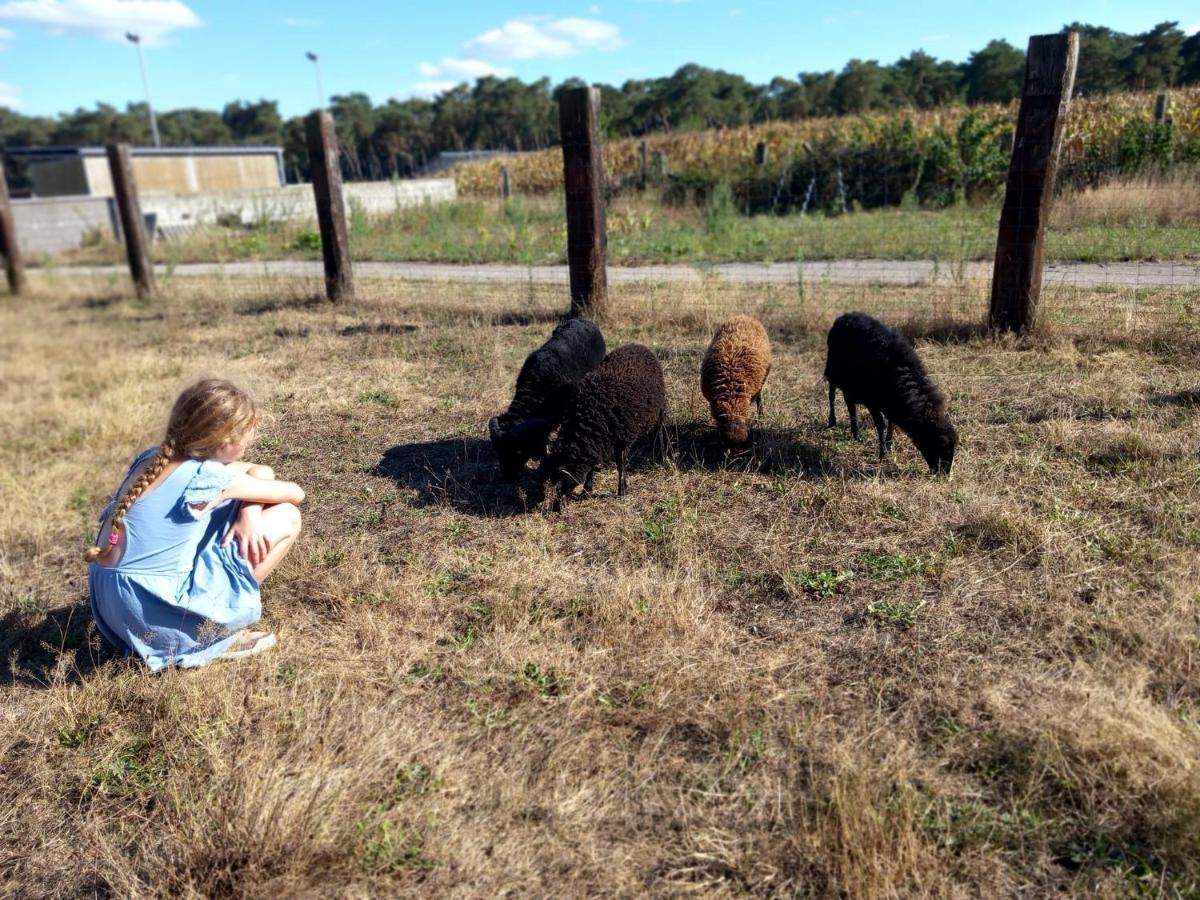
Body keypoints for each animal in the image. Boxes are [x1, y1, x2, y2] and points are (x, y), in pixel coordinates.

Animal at [542, 345, 667, 511]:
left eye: (565, 478)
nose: (556, 508)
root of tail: (638, 345)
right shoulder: (595, 446)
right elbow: (591, 468)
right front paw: (586, 492)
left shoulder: (622, 439)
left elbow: (621, 465)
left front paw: (622, 491)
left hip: (660, 408)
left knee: (659, 428)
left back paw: (659, 449)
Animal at [825, 312, 955, 475]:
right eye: (937, 443)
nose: (944, 473)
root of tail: (846, 315)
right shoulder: (872, 401)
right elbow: (881, 424)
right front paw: (883, 454)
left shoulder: (890, 402)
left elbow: (891, 421)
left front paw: (889, 444)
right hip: (833, 371)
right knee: (832, 395)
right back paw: (832, 421)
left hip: (850, 383)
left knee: (850, 404)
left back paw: (856, 433)